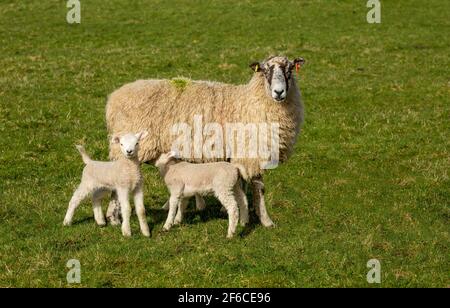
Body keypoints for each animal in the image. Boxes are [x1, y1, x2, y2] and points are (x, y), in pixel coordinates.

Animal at [104, 56, 306, 229]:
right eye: (265, 70)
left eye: (289, 69)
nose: (279, 92)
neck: (251, 103)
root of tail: (113, 98)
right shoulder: (251, 151)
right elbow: (258, 188)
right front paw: (265, 220)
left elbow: (241, 185)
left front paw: (236, 212)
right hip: (128, 147)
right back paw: (113, 217)